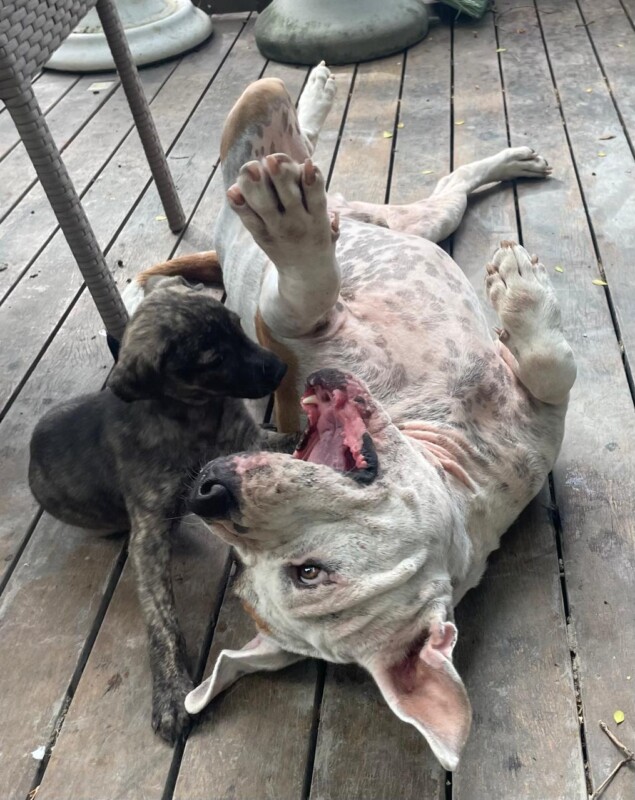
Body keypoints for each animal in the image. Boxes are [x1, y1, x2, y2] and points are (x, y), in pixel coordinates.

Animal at [28, 276, 288, 744]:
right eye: (214, 358)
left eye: (237, 325)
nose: (280, 370)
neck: (195, 416)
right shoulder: (148, 534)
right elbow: (161, 616)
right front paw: (171, 692)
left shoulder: (252, 441)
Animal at [143, 61, 576, 768]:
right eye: (253, 575)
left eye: (308, 572)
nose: (208, 492)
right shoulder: (285, 318)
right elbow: (306, 286)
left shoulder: (539, 412)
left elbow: (551, 365)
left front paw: (522, 294)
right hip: (325, 177)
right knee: (301, 150)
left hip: (406, 220)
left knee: (430, 183)